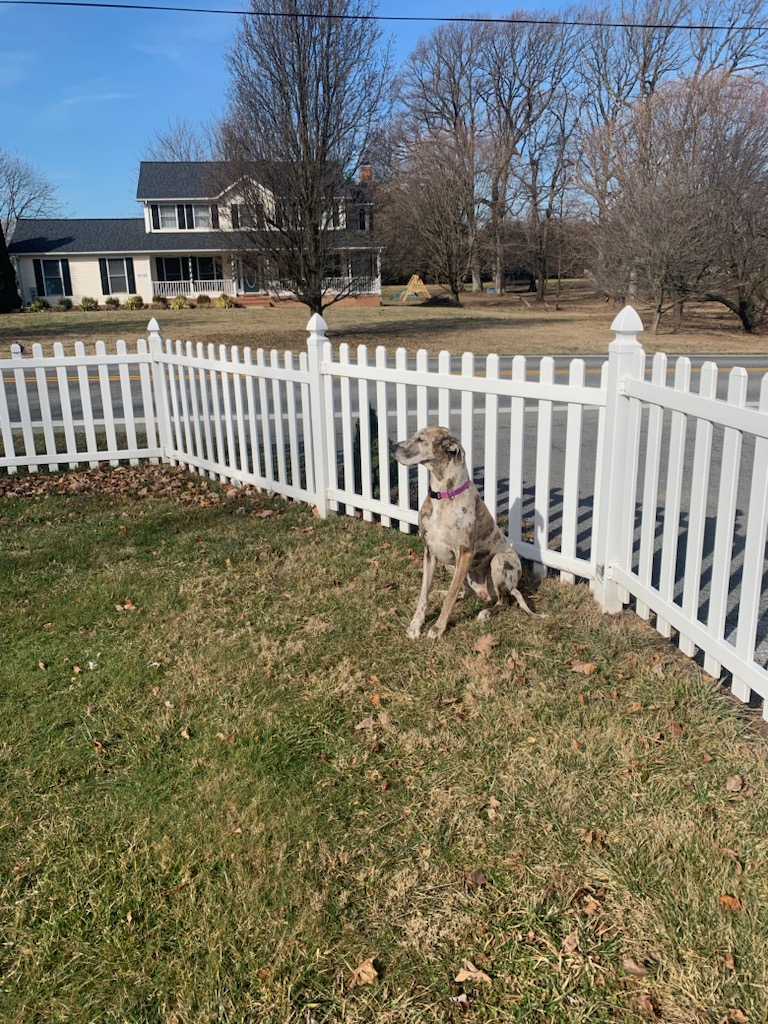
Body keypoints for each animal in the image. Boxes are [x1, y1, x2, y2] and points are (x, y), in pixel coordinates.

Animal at [391, 425, 540, 638]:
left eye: (420, 440)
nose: (392, 447)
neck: (443, 496)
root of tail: (485, 593)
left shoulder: (465, 553)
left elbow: (450, 598)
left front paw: (438, 628)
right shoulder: (430, 552)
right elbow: (424, 593)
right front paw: (416, 625)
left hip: (499, 562)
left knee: (504, 600)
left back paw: (487, 612)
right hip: (449, 563)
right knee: (465, 591)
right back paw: (445, 592)